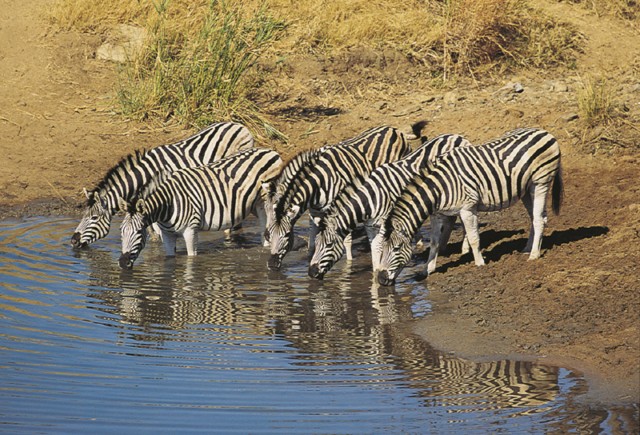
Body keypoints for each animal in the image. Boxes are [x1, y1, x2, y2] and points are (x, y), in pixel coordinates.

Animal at [69, 122, 250, 249]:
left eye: (94, 218)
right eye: (83, 216)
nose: (73, 242)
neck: (148, 173)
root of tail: (239, 125)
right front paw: (154, 239)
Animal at [118, 147, 282, 270]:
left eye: (139, 231)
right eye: (121, 231)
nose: (122, 263)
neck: (168, 205)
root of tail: (270, 151)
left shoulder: (191, 230)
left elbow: (191, 259)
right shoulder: (167, 235)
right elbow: (170, 258)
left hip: (266, 202)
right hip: (255, 206)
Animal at [264, 122, 424, 270]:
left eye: (286, 235)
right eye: (269, 235)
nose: (271, 265)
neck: (318, 183)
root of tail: (393, 129)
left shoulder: (340, 207)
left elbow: (345, 240)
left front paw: (348, 264)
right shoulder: (315, 211)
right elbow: (313, 235)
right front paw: (310, 257)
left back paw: (420, 242)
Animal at [308, 135, 472, 282]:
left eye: (329, 245)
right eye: (315, 244)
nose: (311, 273)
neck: (371, 197)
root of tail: (458, 136)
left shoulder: (384, 224)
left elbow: (381, 248)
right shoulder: (371, 226)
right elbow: (374, 250)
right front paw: (376, 276)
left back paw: (465, 249)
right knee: (451, 219)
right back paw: (445, 247)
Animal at [376, 127, 564, 288]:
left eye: (396, 248)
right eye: (382, 248)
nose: (381, 280)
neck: (438, 188)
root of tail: (544, 131)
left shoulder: (468, 208)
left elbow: (474, 238)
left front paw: (480, 264)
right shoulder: (438, 214)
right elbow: (435, 242)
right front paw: (427, 269)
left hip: (540, 182)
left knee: (539, 219)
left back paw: (534, 255)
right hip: (525, 188)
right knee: (536, 217)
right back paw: (527, 249)